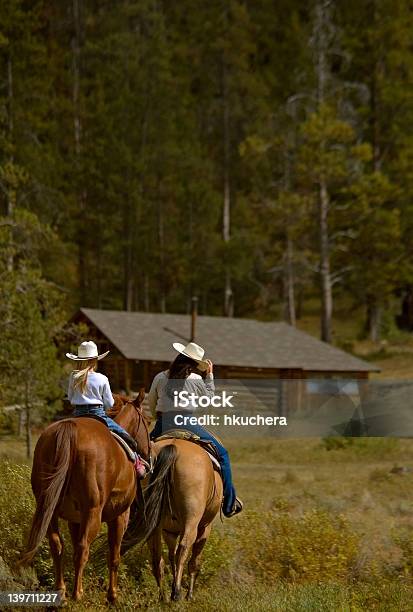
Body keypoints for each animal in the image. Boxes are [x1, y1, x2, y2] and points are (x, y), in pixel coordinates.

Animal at [19, 392, 150, 604]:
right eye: (148, 420)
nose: (149, 457)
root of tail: (68, 430)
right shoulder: (120, 515)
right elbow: (114, 555)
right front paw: (112, 595)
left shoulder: (75, 520)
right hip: (93, 513)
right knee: (82, 549)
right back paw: (77, 594)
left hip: (48, 509)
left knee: (57, 545)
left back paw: (61, 591)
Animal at [120, 440, 222, 604]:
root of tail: (173, 446)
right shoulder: (205, 527)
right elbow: (194, 561)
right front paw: (189, 594)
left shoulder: (169, 532)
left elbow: (171, 557)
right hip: (192, 520)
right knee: (183, 549)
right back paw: (177, 593)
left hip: (154, 524)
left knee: (157, 557)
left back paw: (163, 596)